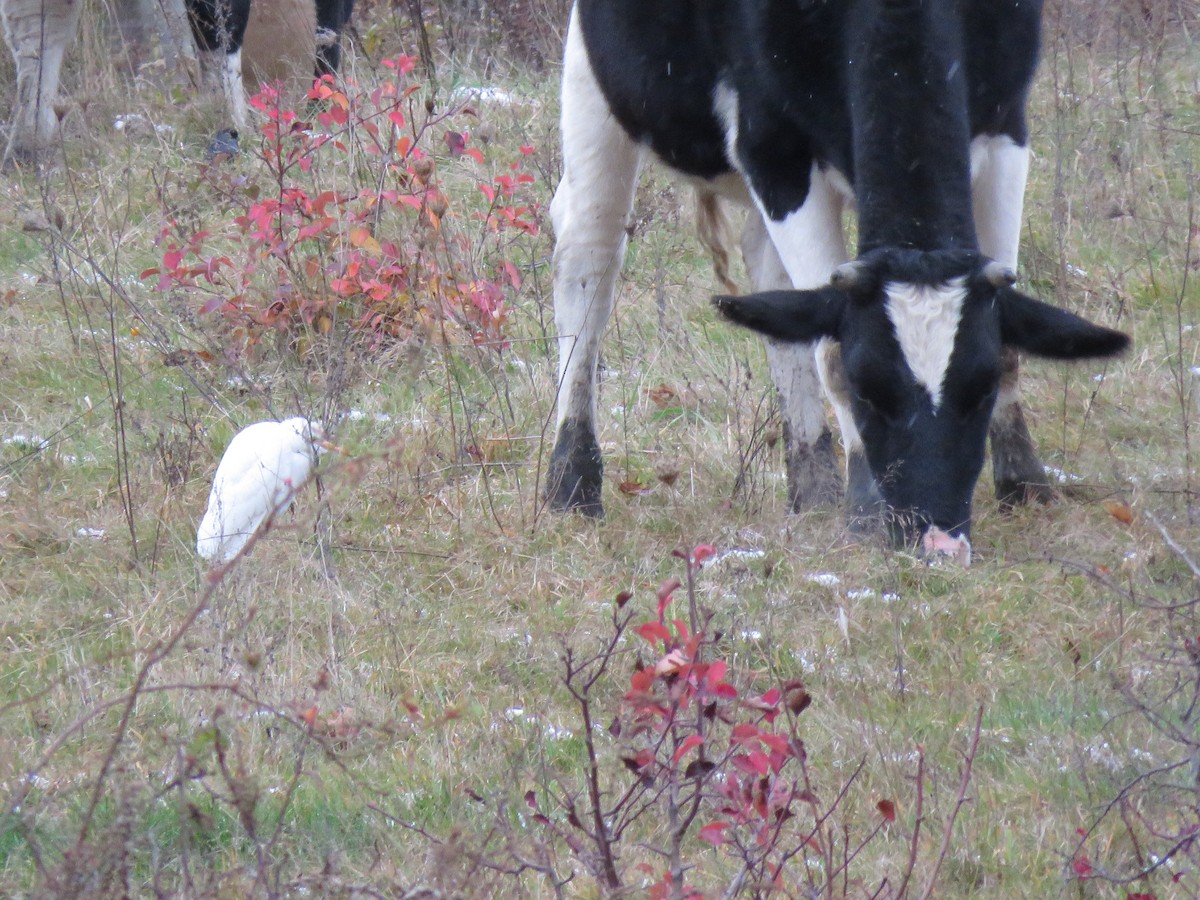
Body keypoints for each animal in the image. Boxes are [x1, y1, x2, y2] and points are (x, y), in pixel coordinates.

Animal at [545, 0, 1129, 562]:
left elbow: (1007, 345)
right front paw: (866, 509)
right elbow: (829, 355)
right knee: (588, 253)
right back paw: (571, 488)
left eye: (979, 389)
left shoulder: (1006, 122)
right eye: (868, 387)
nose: (937, 542)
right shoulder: (775, 152)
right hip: (595, 88)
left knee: (770, 278)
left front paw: (1026, 486)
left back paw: (815, 488)